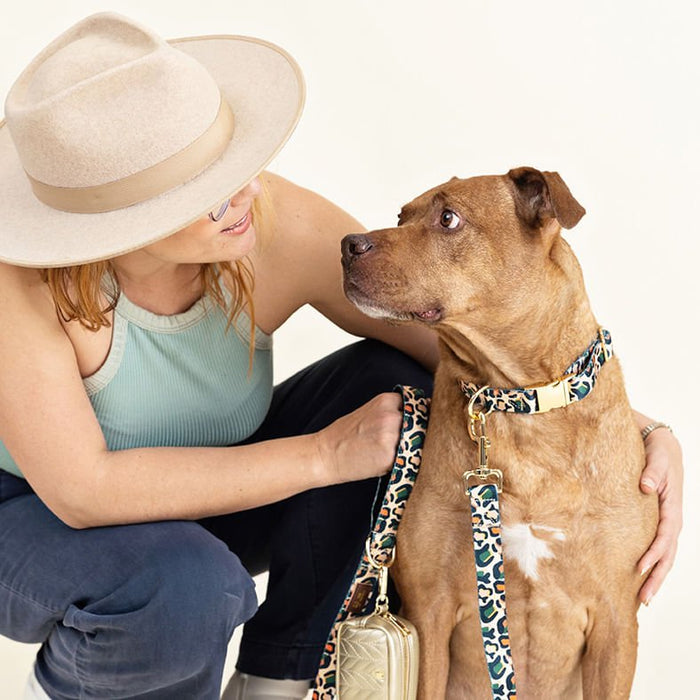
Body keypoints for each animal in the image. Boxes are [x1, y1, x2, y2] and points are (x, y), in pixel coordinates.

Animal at [342, 167, 660, 696]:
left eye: (448, 218)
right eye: (402, 216)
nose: (347, 244)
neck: (516, 401)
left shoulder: (617, 620)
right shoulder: (430, 613)